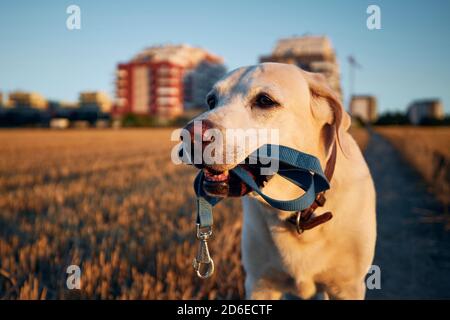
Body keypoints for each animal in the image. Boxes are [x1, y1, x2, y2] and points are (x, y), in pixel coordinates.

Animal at [182, 63, 376, 300]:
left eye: (265, 101)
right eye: (211, 101)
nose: (189, 135)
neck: (298, 210)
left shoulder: (347, 287)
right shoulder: (260, 284)